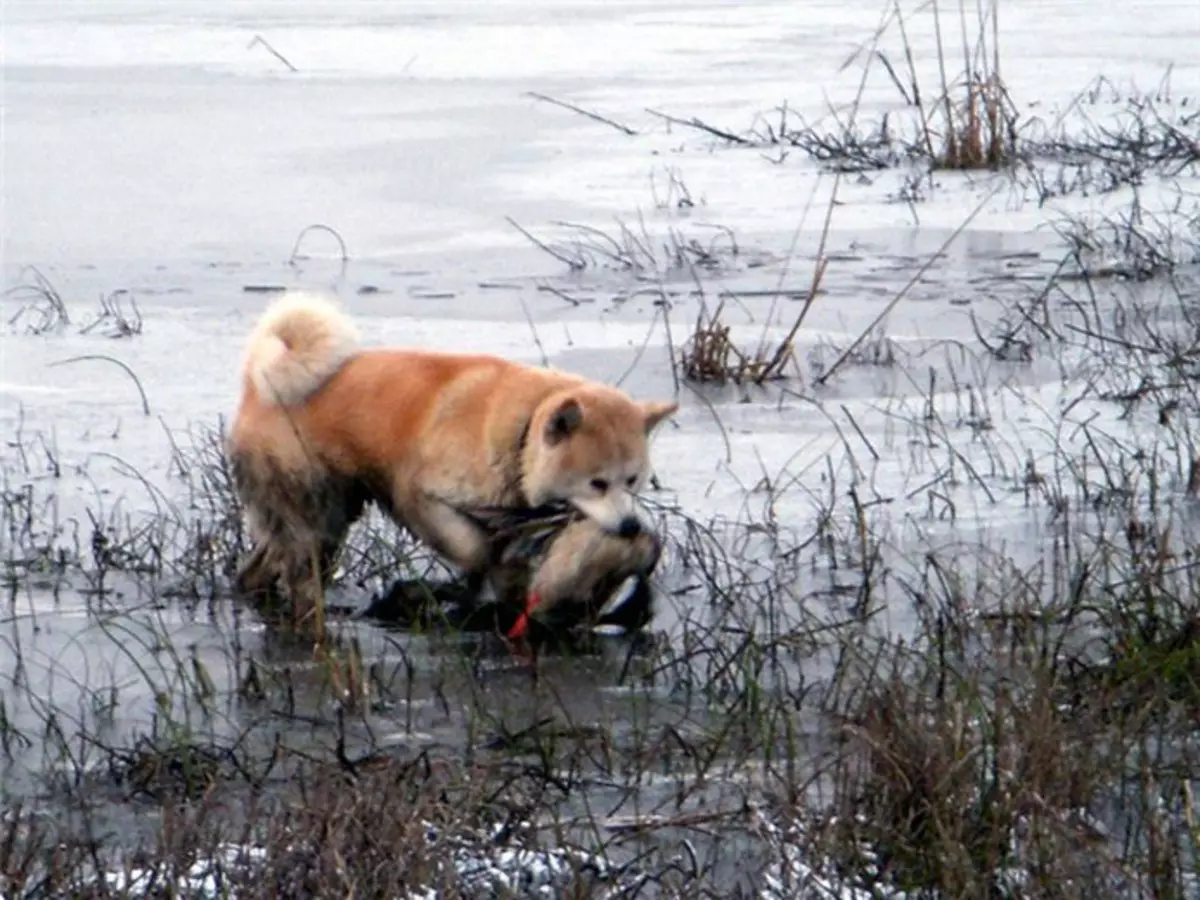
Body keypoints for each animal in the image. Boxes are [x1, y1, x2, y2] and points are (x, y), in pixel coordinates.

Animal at [225, 290, 676, 643]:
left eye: (632, 481)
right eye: (597, 483)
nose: (630, 528)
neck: (519, 435)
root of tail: (257, 383)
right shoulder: (418, 495)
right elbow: (475, 550)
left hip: (331, 514)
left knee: (261, 566)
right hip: (310, 506)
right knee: (299, 567)